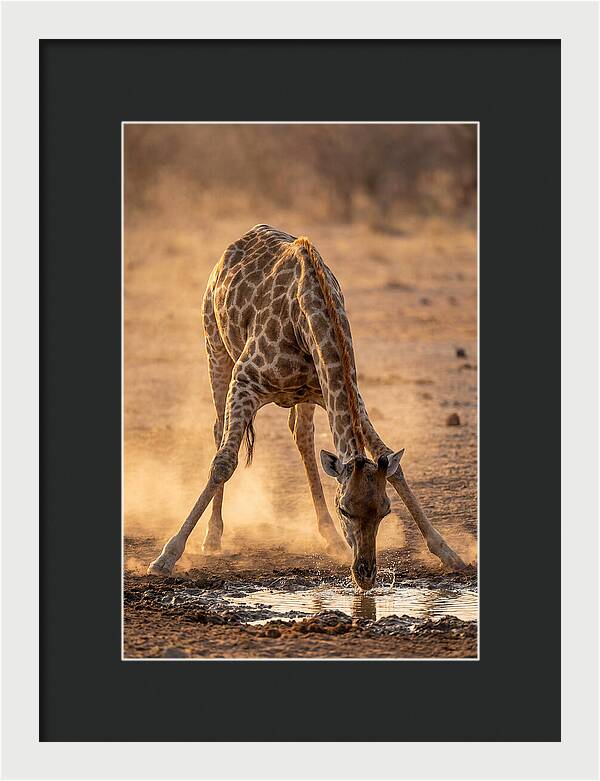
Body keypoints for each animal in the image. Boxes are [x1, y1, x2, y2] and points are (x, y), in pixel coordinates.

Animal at [147, 224, 466, 588]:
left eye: (385, 510)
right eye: (345, 509)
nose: (366, 574)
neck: (309, 316)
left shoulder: (342, 391)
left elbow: (391, 463)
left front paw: (448, 552)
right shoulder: (245, 380)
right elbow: (224, 464)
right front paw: (167, 556)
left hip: (303, 396)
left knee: (302, 436)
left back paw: (330, 538)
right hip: (215, 348)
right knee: (219, 431)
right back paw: (213, 538)